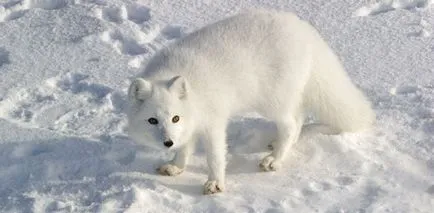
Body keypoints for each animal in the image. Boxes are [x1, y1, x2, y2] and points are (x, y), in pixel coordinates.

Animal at [125, 10, 372, 195]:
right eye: (152, 120)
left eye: (175, 118)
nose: (167, 142)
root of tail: (304, 28)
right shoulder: (192, 124)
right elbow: (185, 148)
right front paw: (176, 166)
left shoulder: (214, 122)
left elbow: (215, 157)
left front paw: (215, 183)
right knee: (299, 118)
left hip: (272, 101)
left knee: (291, 125)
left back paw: (274, 160)